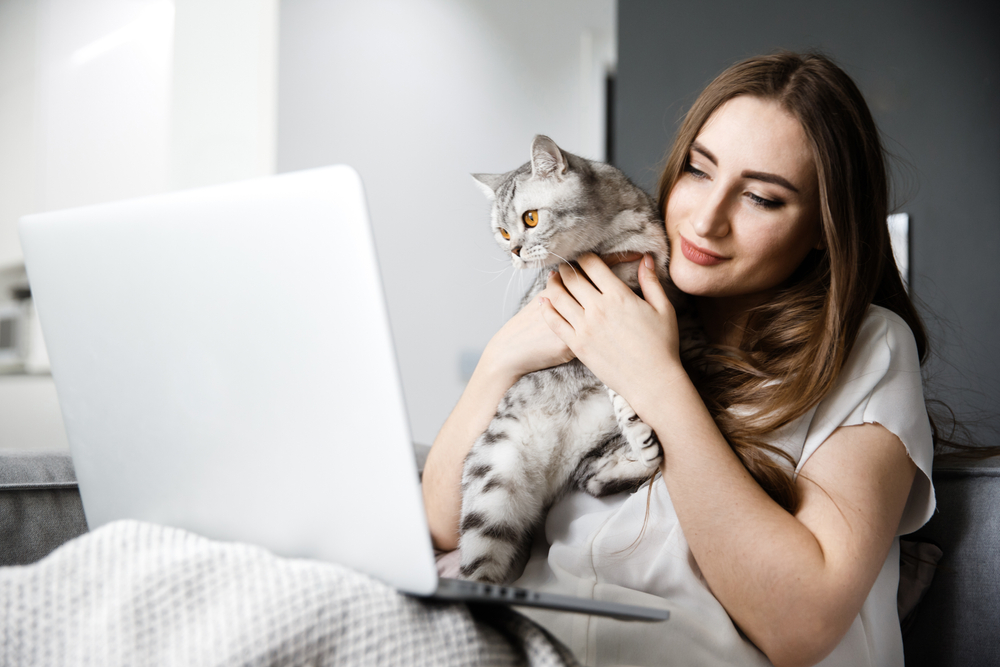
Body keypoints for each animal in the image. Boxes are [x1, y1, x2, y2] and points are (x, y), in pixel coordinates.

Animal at [462, 136, 688, 584]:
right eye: (503, 231)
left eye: (530, 218)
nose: (514, 251)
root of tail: (549, 478)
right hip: (493, 480)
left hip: (595, 454)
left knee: (607, 477)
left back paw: (642, 441)